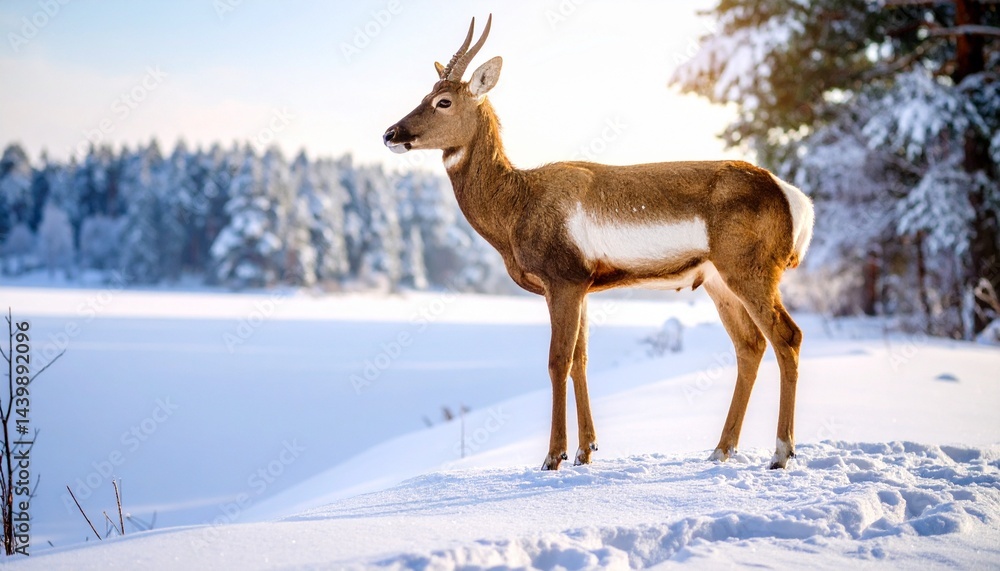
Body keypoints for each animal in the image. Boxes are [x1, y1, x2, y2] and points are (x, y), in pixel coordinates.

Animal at [383, 15, 815, 471]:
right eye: (425, 94)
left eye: (443, 101)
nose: (390, 133)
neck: (516, 208)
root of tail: (796, 201)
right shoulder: (582, 284)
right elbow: (581, 361)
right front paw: (585, 451)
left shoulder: (563, 277)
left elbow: (557, 361)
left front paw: (552, 457)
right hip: (718, 280)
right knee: (749, 345)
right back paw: (721, 449)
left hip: (750, 269)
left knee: (787, 336)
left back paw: (781, 452)